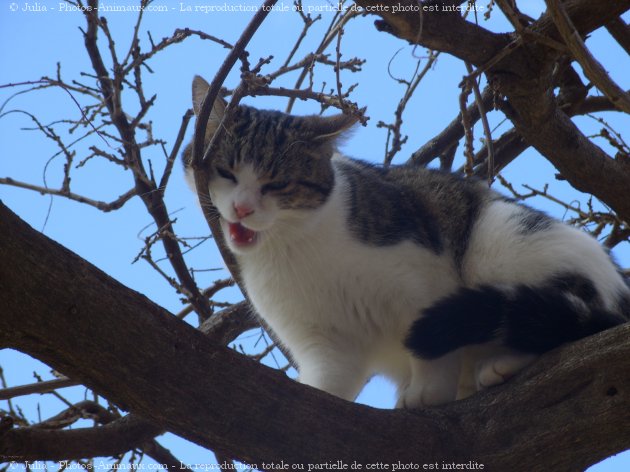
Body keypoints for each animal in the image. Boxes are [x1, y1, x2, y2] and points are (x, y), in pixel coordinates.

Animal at [185, 75, 628, 408]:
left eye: (277, 184)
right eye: (225, 172)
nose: (242, 209)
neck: (293, 248)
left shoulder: (423, 278)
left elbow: (428, 342)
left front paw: (428, 390)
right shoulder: (322, 340)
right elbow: (329, 379)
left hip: (501, 238)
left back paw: (500, 364)